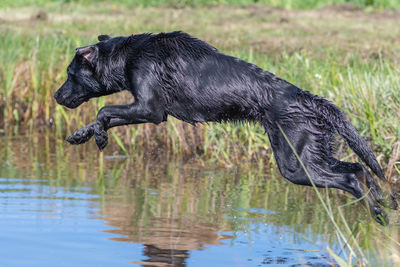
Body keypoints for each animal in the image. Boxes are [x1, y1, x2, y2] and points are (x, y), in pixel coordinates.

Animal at [54, 30, 396, 224]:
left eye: (70, 74)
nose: (56, 95)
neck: (131, 55)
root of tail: (311, 99)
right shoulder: (145, 109)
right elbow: (104, 116)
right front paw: (81, 135)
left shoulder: (151, 110)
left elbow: (104, 111)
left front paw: (98, 137)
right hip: (309, 155)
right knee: (360, 169)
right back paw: (385, 201)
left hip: (296, 164)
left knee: (352, 177)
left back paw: (378, 213)